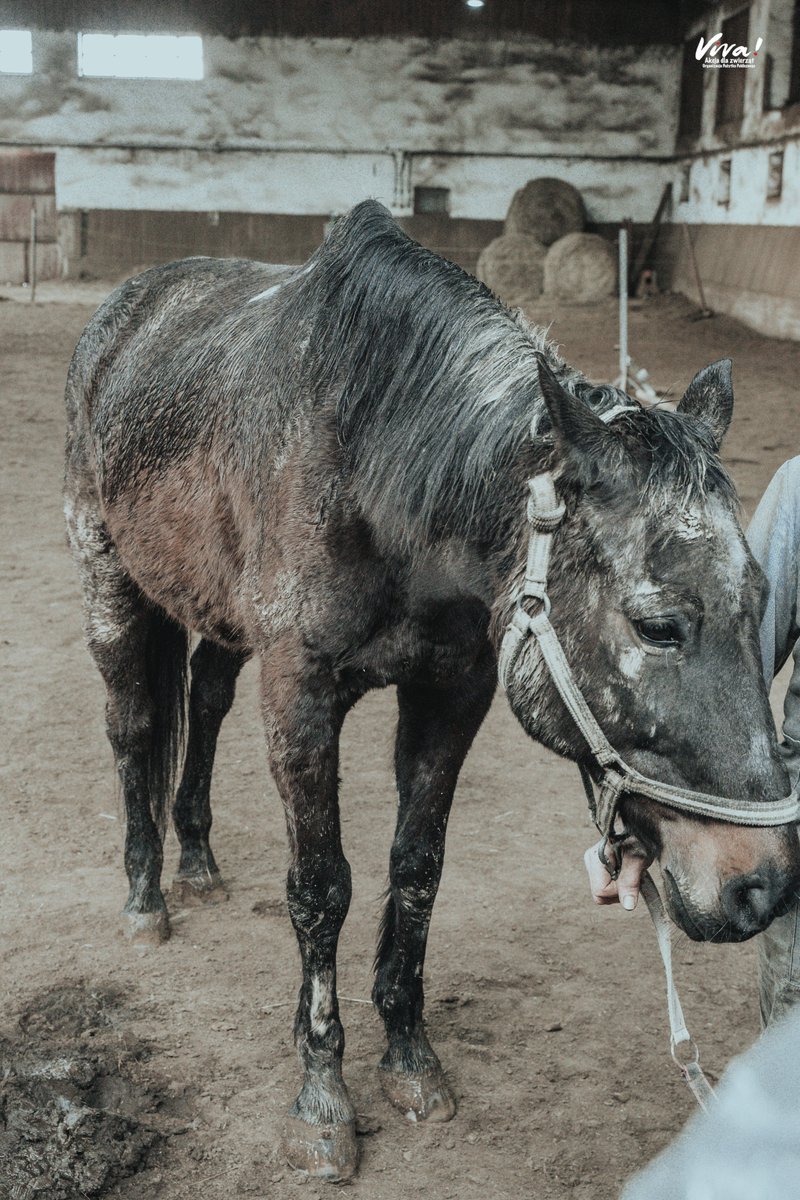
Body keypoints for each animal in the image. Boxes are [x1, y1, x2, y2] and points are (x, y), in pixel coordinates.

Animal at [64, 201, 800, 1176]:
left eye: (762, 598)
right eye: (658, 626)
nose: (763, 886)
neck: (376, 470)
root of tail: (126, 310)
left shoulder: (453, 694)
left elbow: (416, 869)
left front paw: (410, 1057)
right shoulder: (300, 696)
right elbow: (320, 888)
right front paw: (323, 1097)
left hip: (218, 616)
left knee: (206, 704)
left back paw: (198, 860)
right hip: (111, 581)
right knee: (137, 728)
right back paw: (147, 896)